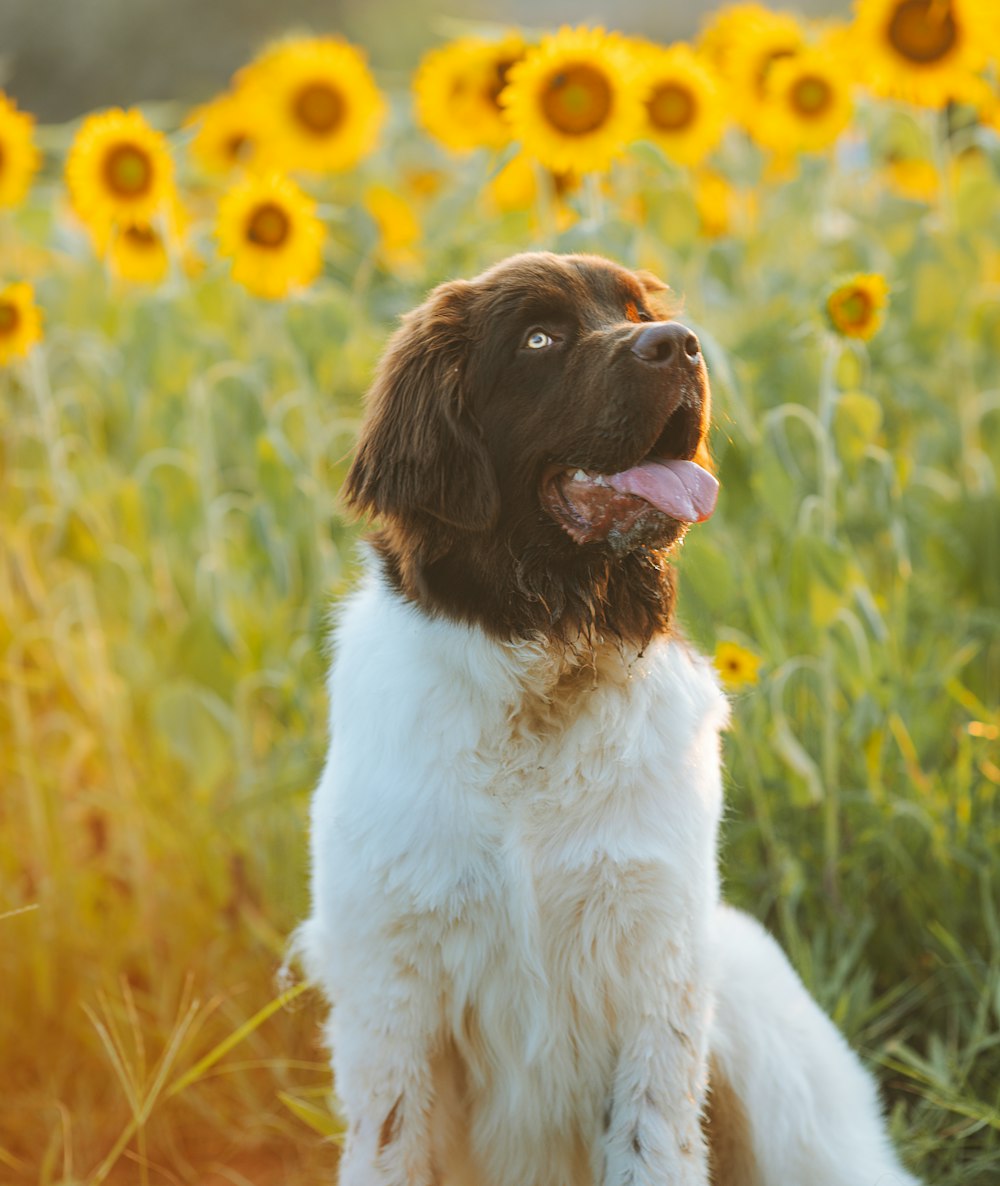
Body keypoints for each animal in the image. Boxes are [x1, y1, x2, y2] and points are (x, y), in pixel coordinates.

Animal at [298, 252, 925, 1186]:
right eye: (539, 338)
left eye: (633, 311)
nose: (682, 344)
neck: (546, 677)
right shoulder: (390, 988)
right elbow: (391, 1141)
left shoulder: (654, 970)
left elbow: (649, 1142)